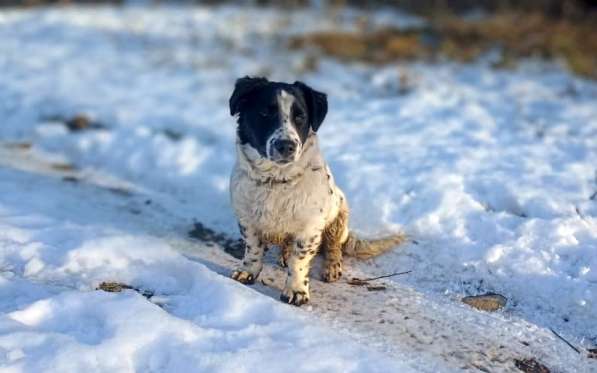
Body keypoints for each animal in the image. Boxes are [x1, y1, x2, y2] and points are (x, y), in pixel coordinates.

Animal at [228, 76, 406, 306]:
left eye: (300, 116)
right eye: (265, 113)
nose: (286, 145)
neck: (276, 179)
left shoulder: (309, 228)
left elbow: (299, 260)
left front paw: (296, 290)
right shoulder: (246, 219)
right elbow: (253, 248)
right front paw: (248, 271)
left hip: (339, 217)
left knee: (333, 247)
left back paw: (331, 266)